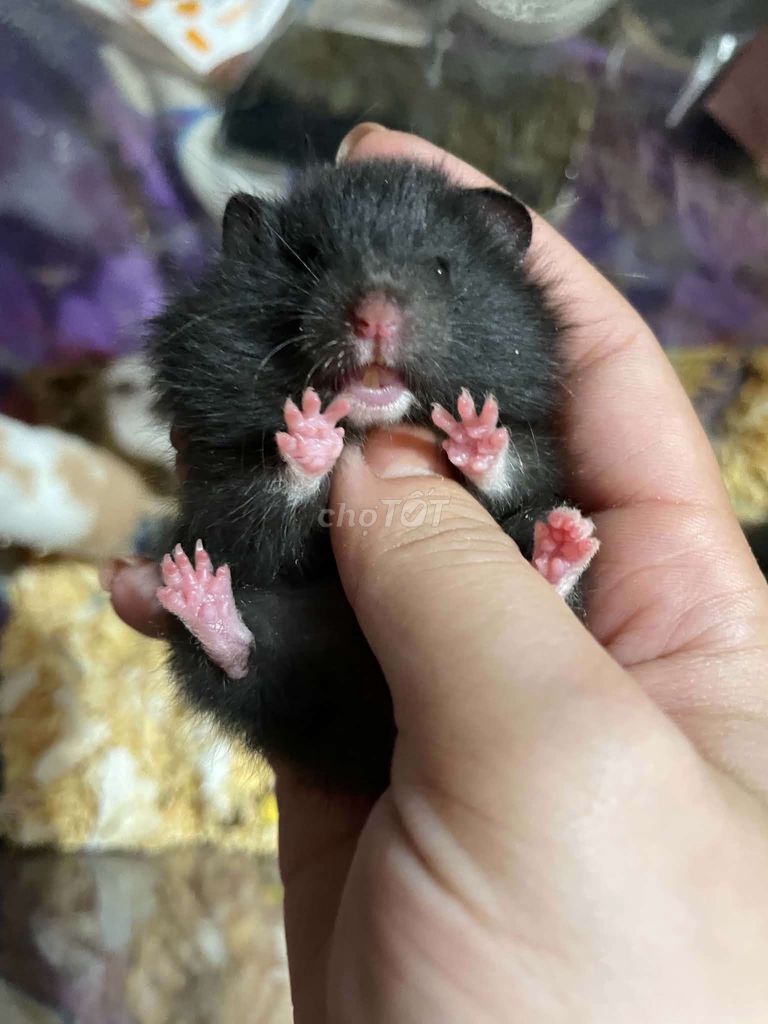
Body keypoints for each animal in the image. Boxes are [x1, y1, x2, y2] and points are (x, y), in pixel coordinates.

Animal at [147, 159, 598, 794]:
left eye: (441, 266)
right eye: (308, 258)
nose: (375, 319)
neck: (373, 422)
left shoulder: (538, 453)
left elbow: (511, 468)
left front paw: (474, 430)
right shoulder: (225, 490)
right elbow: (268, 505)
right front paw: (313, 429)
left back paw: (562, 543)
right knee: (237, 662)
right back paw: (197, 593)